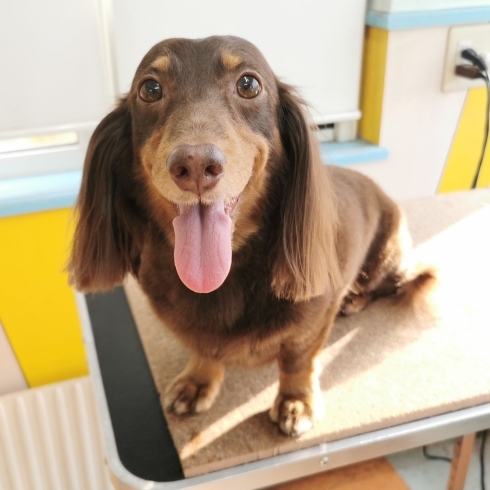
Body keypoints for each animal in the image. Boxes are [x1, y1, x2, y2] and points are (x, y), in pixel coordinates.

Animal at [70, 35, 432, 436]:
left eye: (248, 84)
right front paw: (198, 380)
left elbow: (298, 360)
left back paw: (355, 298)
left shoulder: (312, 322)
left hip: (388, 258)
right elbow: (203, 348)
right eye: (149, 89)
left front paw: (296, 400)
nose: (195, 165)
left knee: (386, 286)